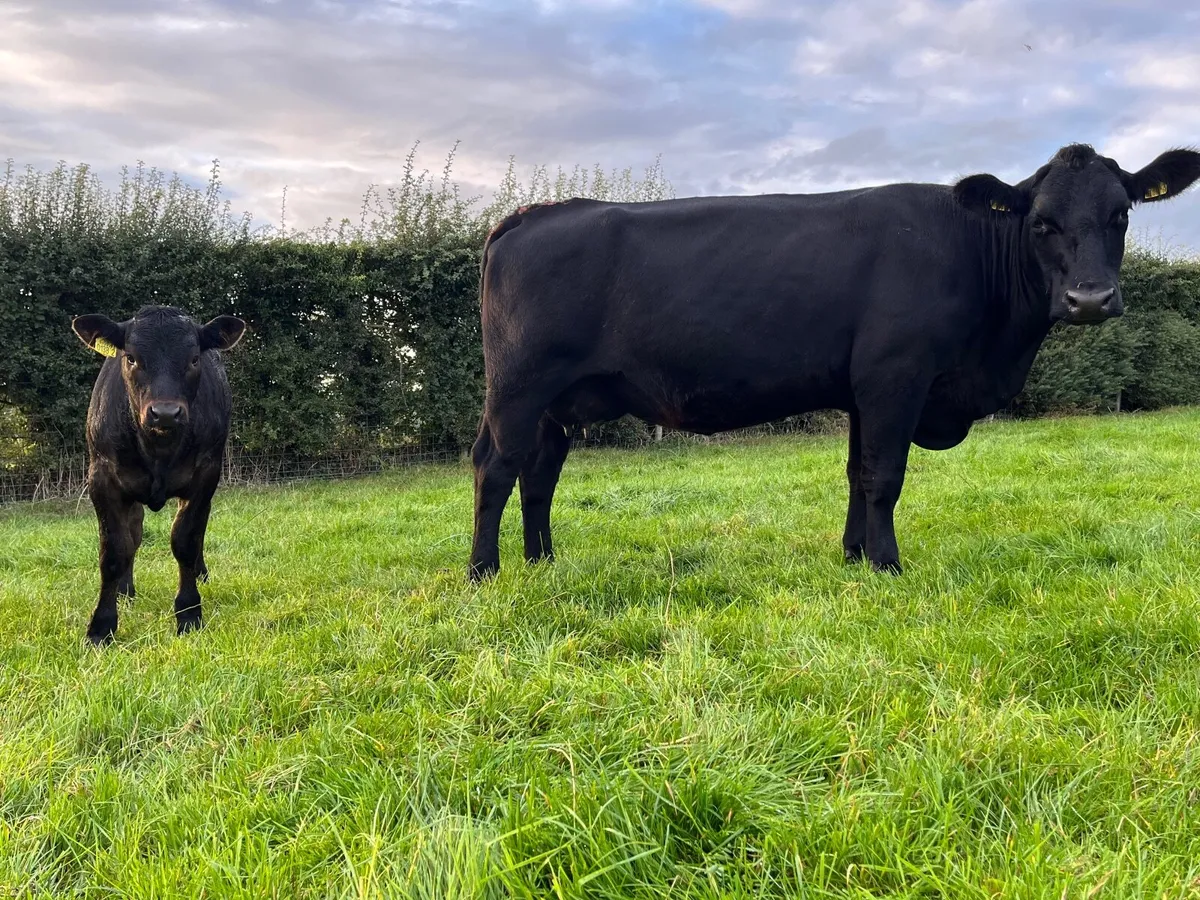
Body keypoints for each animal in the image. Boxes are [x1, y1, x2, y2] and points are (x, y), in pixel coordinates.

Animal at [71, 305, 246, 644]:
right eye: (131, 358)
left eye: (194, 359)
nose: (165, 413)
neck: (158, 450)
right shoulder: (101, 478)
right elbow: (114, 550)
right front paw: (101, 627)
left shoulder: (206, 475)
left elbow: (186, 540)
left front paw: (189, 614)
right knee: (133, 533)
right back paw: (125, 590)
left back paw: (201, 574)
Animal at [468, 143, 1200, 580]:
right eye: (1040, 222)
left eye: (1122, 214)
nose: (1090, 298)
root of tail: (531, 213)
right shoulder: (895, 376)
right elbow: (884, 476)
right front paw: (886, 565)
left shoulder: (861, 390)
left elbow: (856, 473)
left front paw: (851, 555)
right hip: (519, 386)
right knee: (496, 468)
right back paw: (486, 571)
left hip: (556, 401)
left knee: (540, 473)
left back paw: (542, 561)